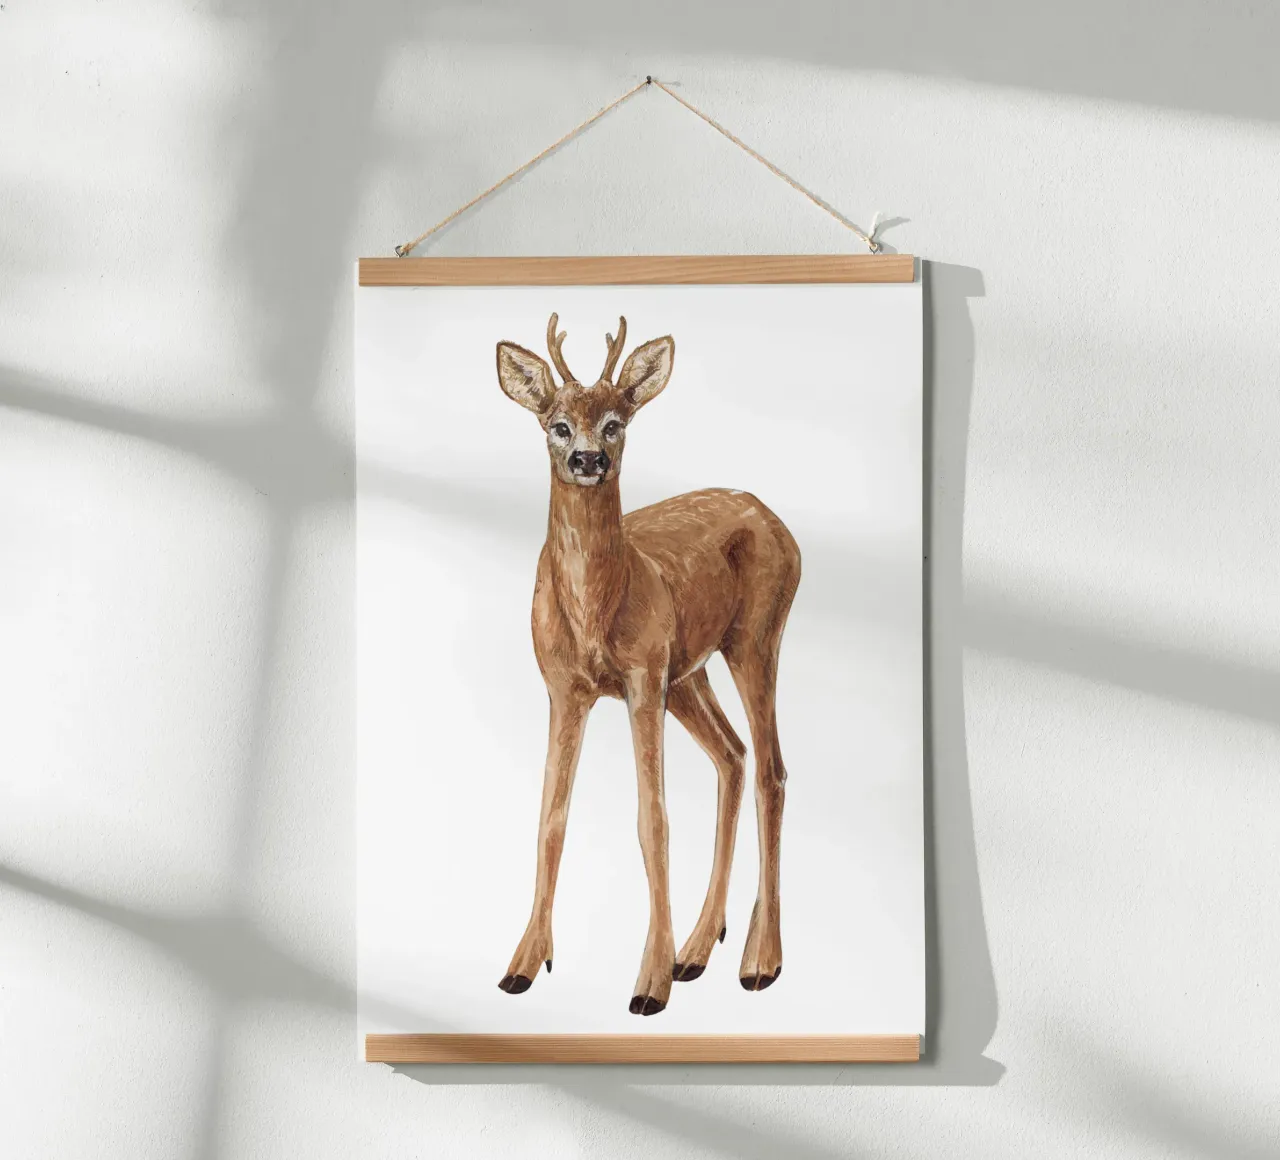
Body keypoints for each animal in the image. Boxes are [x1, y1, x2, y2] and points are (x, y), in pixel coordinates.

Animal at [494, 312, 801, 1016]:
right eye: (557, 423)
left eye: (616, 421)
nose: (588, 459)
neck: (596, 611)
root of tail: (778, 522)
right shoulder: (564, 687)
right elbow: (551, 818)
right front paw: (523, 963)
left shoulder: (640, 678)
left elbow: (651, 820)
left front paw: (648, 984)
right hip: (688, 672)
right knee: (733, 755)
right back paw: (698, 949)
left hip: (753, 638)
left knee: (771, 769)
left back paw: (758, 962)